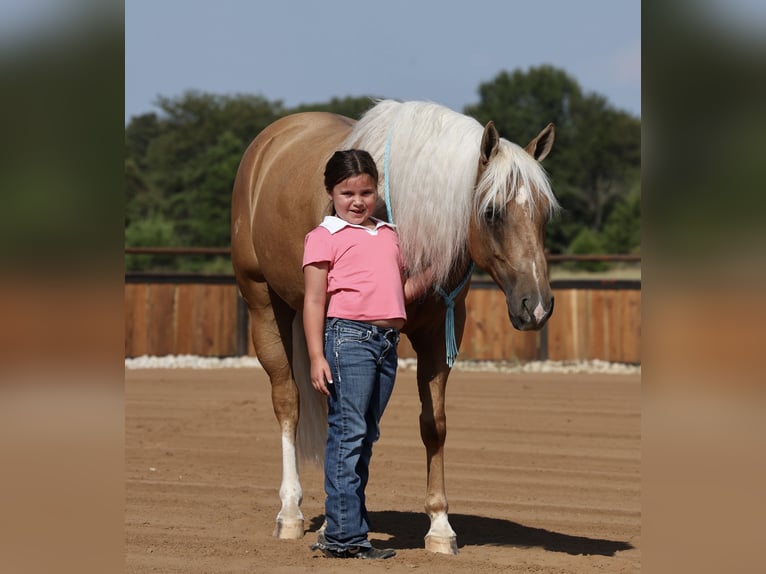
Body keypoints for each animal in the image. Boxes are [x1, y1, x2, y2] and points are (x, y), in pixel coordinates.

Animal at [230, 99, 558, 554]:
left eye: (545, 214)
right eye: (491, 212)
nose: (537, 307)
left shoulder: (438, 333)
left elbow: (433, 425)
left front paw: (440, 526)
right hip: (263, 304)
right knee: (288, 403)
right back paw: (292, 512)